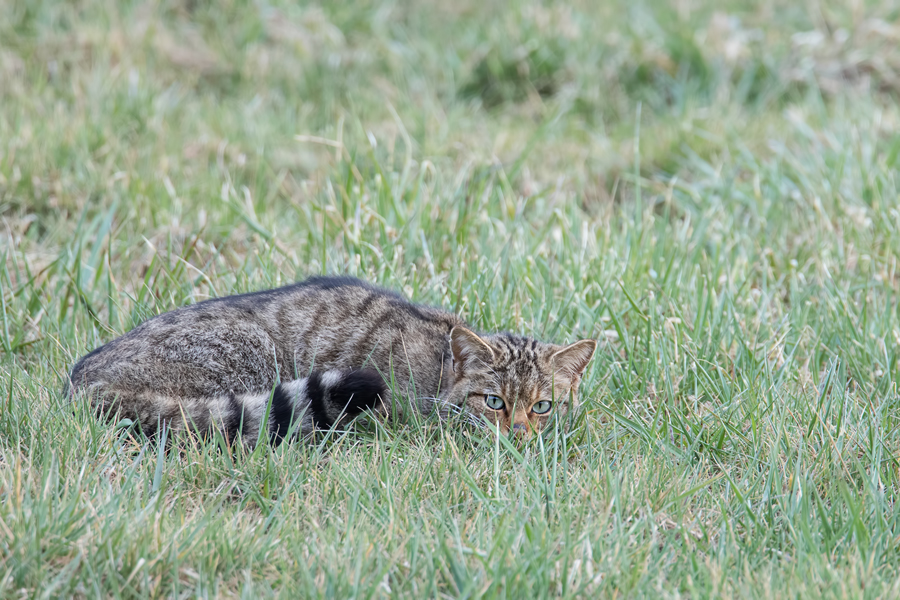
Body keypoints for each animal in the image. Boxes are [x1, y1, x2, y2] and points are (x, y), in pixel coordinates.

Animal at [65, 276, 596, 446]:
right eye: (493, 402)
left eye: (543, 407)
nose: (520, 434)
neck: (440, 365)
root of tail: (81, 379)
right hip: (249, 355)